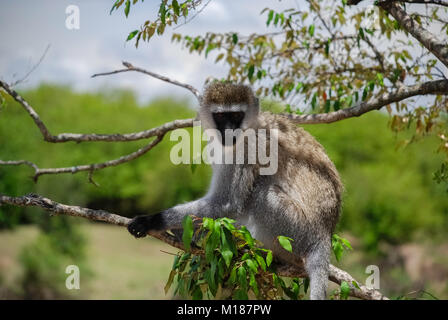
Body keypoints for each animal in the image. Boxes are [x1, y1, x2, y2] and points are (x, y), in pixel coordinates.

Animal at [128, 82, 342, 300]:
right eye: (222, 116)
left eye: (237, 115)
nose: (230, 131)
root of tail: (324, 236)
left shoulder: (248, 147)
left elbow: (225, 203)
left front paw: (152, 221)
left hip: (297, 232)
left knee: (263, 192)